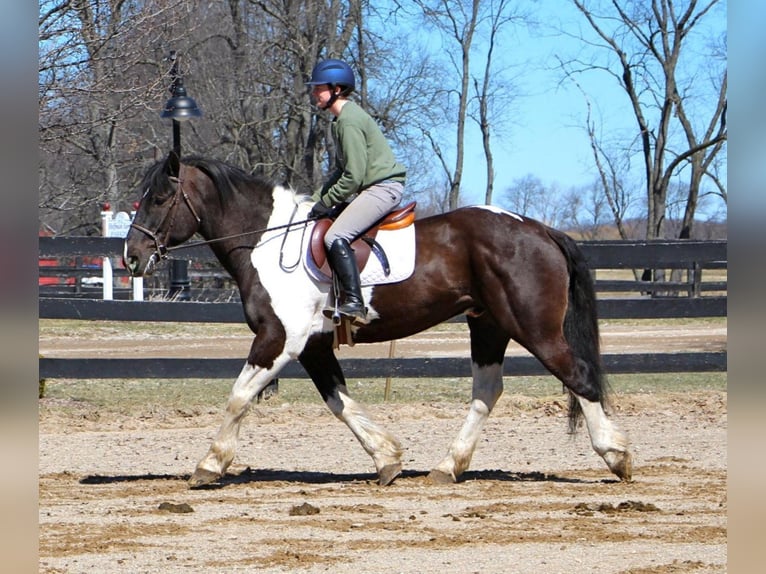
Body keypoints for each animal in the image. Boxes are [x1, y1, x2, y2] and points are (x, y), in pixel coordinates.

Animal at [123, 151, 632, 488]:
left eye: (161, 197)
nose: (132, 256)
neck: (267, 240)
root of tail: (538, 228)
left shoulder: (280, 339)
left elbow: (239, 396)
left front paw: (209, 465)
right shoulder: (312, 346)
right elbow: (339, 402)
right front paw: (386, 458)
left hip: (533, 328)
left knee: (579, 376)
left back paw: (616, 458)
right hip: (488, 325)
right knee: (487, 391)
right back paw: (447, 467)